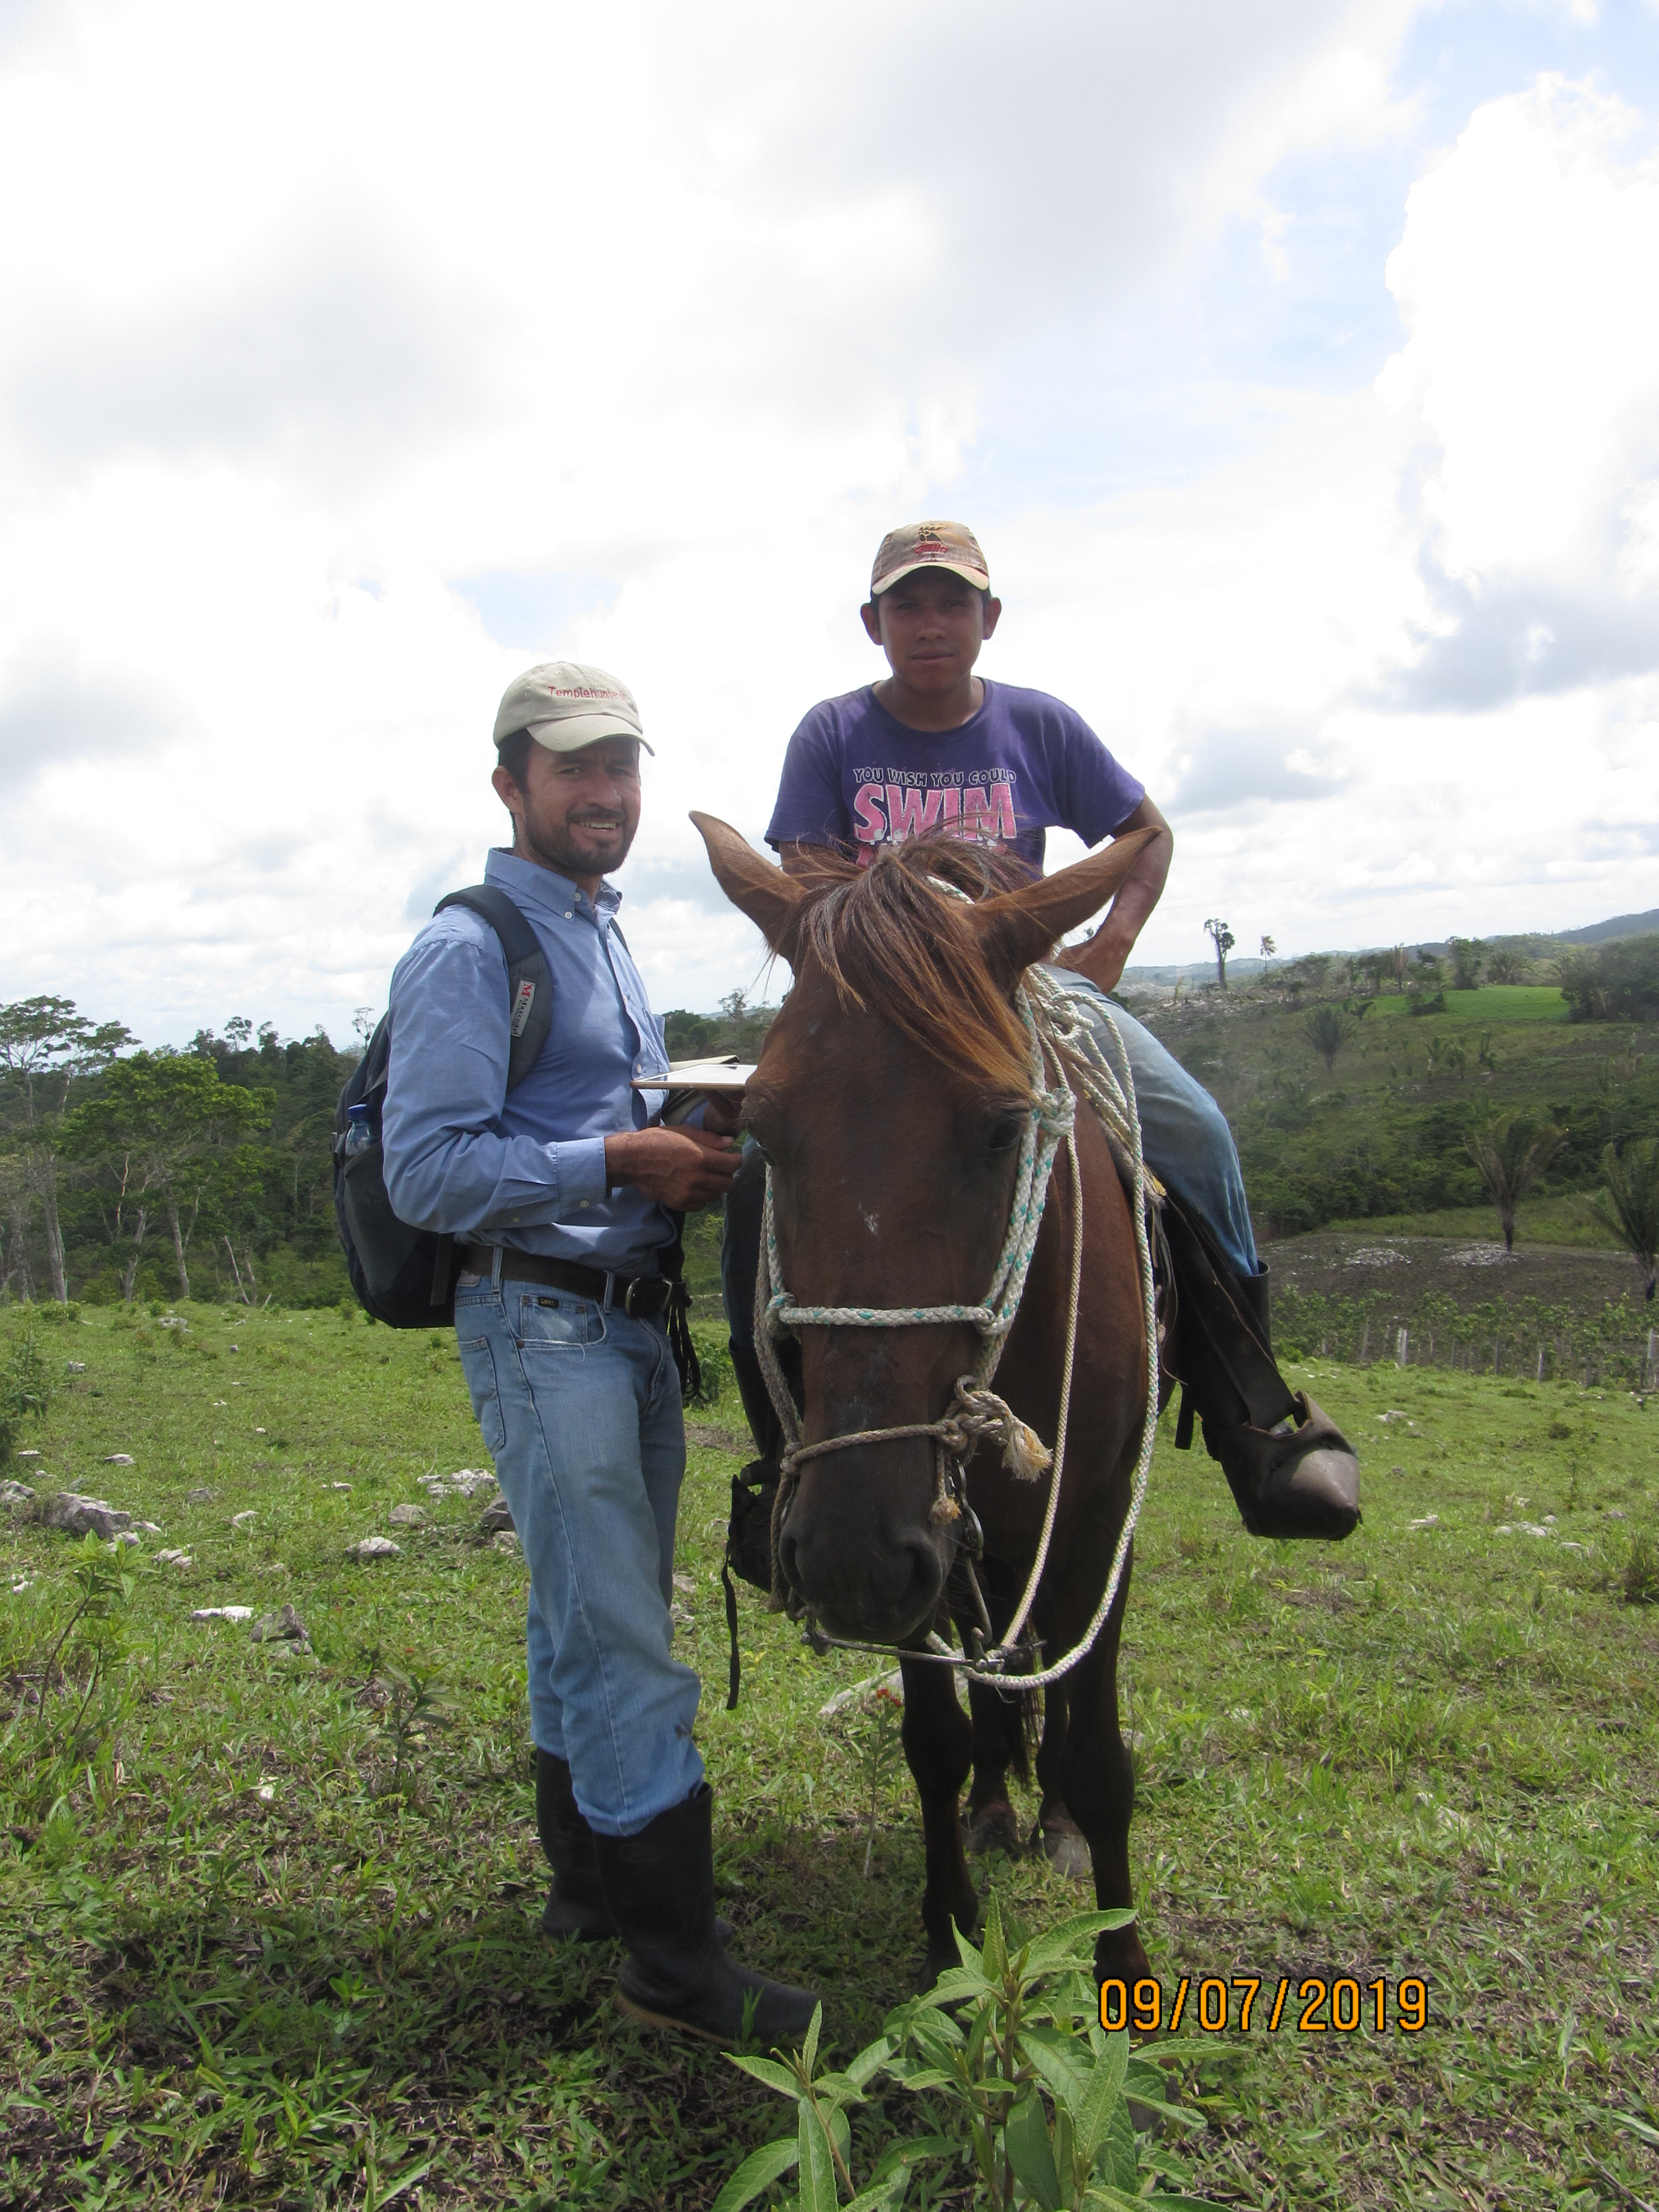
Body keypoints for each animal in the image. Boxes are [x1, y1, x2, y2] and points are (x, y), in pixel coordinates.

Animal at [695, 814, 1159, 1991]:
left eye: (1001, 1129)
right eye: (765, 1126)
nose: (850, 1557)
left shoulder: (1099, 1520)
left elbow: (1100, 1754)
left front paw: (1122, 1964)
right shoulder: (907, 1551)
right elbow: (934, 1742)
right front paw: (950, 1937)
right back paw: (1000, 1808)